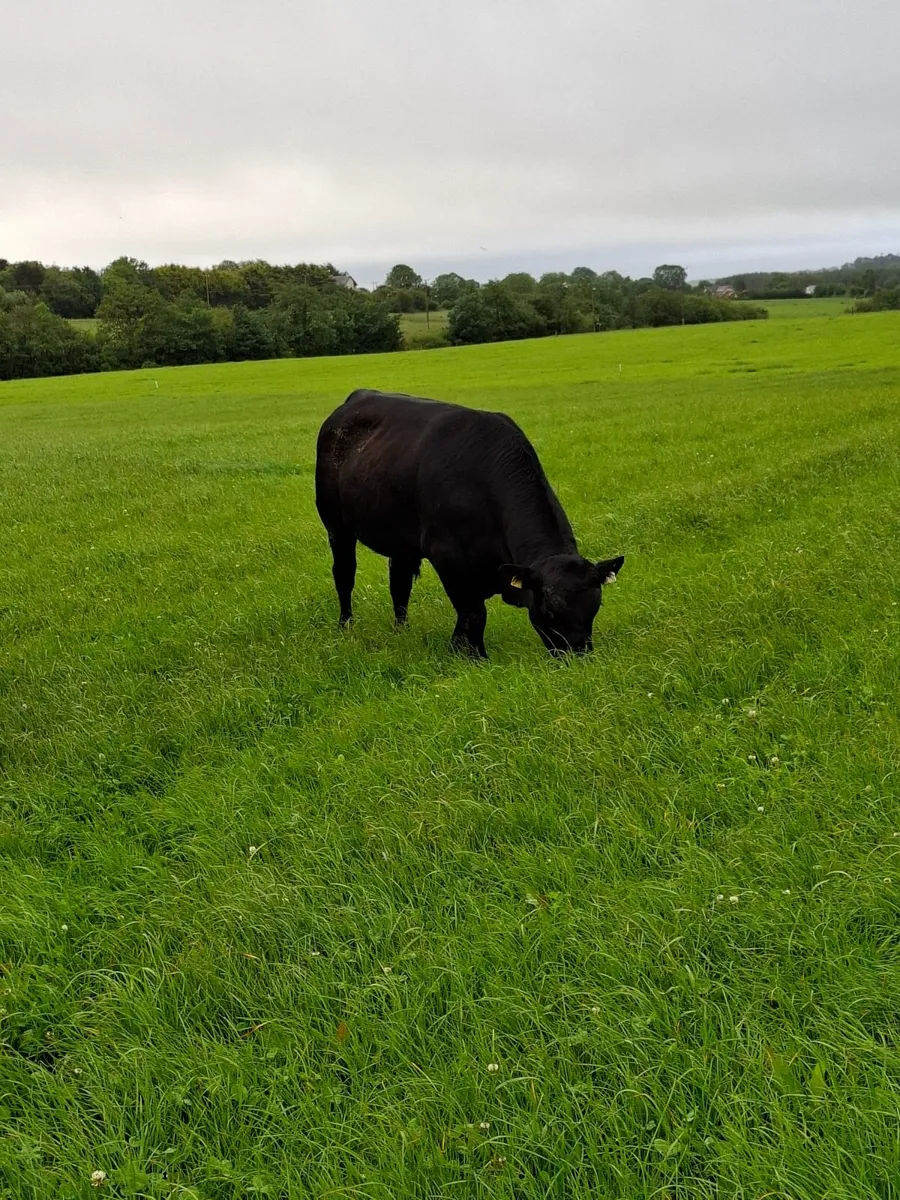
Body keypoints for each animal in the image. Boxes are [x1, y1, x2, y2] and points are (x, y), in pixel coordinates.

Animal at [314, 389, 624, 658]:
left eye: (594, 608)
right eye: (550, 610)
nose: (577, 655)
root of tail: (356, 398)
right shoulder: (448, 557)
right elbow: (474, 613)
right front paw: (472, 655)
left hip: (401, 540)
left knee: (399, 583)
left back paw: (402, 630)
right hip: (336, 526)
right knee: (344, 575)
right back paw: (346, 626)